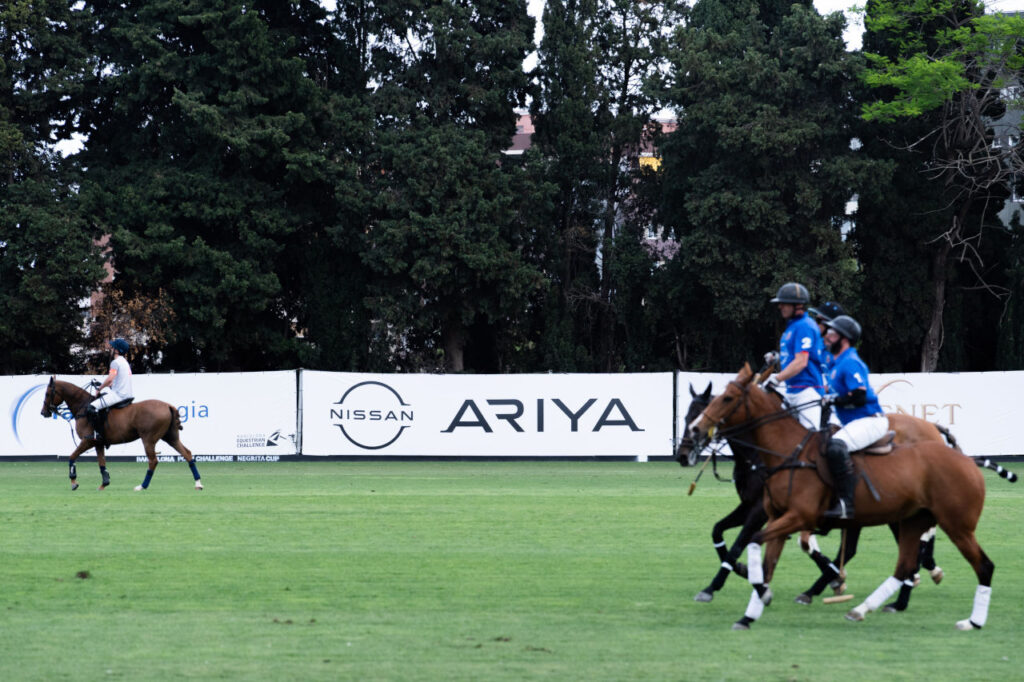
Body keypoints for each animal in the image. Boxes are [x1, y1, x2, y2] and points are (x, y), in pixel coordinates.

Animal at [39, 374, 201, 491]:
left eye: (47, 393)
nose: (43, 412)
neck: (83, 408)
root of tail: (168, 406)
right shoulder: (98, 443)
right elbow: (102, 464)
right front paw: (104, 484)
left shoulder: (88, 440)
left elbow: (72, 457)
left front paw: (74, 482)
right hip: (170, 437)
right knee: (187, 453)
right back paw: (198, 483)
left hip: (148, 439)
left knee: (153, 461)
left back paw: (142, 486)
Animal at [675, 364, 995, 630]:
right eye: (686, 413)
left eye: (727, 399)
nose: (686, 446)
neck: (782, 450)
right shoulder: (766, 511)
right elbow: (730, 537)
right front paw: (751, 601)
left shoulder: (770, 512)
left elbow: (744, 542)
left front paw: (719, 585)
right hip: (905, 515)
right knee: (904, 556)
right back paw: (887, 597)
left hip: (945, 521)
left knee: (966, 562)